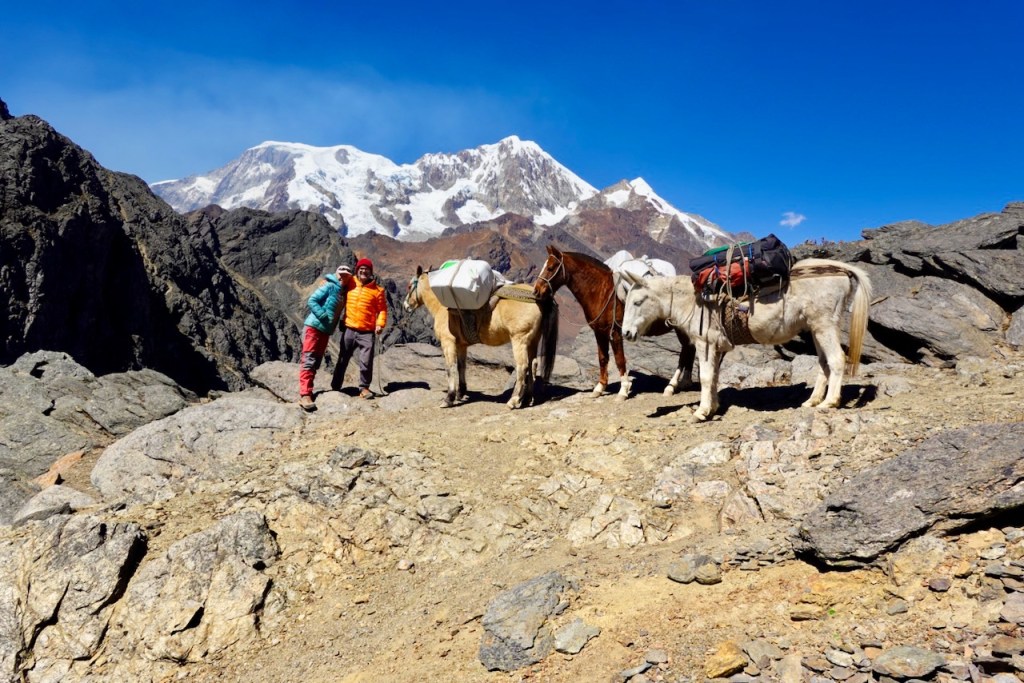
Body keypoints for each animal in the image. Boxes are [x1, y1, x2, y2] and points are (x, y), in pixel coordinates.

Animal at [404, 266, 559, 409]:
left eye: (410, 286)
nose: (406, 306)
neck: (442, 307)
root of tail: (537, 298)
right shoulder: (461, 345)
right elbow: (461, 366)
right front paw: (460, 393)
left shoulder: (448, 342)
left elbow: (450, 367)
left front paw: (449, 398)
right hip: (533, 340)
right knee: (533, 364)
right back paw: (528, 399)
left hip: (519, 340)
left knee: (523, 366)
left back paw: (514, 400)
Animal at [532, 245, 695, 400]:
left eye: (550, 268)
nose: (536, 291)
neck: (602, 293)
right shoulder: (599, 332)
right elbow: (603, 358)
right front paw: (599, 388)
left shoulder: (615, 332)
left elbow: (619, 360)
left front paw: (623, 390)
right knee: (690, 350)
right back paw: (685, 383)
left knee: (684, 353)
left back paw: (671, 387)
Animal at [621, 258, 872, 421]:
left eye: (637, 302)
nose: (626, 334)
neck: (695, 299)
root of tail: (841, 270)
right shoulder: (717, 347)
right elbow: (714, 377)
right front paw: (713, 408)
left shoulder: (704, 343)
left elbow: (705, 377)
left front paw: (701, 412)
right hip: (816, 329)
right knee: (824, 364)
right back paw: (812, 401)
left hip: (825, 326)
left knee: (837, 360)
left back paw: (830, 402)